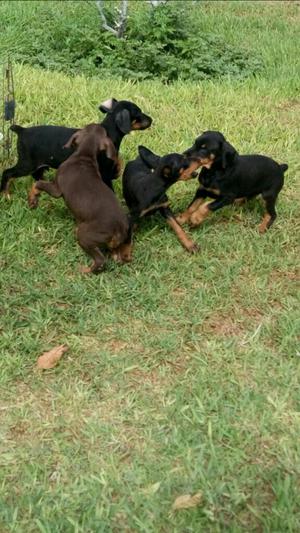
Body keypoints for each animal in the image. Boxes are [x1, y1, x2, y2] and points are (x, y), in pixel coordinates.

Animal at [28, 124, 132, 272]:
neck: (84, 155)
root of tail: (119, 228)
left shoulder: (57, 189)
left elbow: (37, 184)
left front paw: (33, 199)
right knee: (117, 257)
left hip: (84, 235)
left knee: (100, 261)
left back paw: (84, 270)